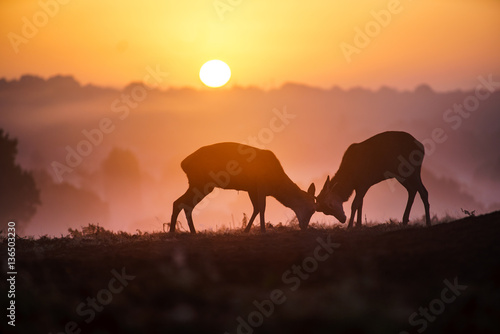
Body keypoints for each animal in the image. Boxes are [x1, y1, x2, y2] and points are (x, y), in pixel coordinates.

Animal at [170, 142, 314, 234]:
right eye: (311, 209)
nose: (304, 227)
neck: (275, 185)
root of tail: (183, 163)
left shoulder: (251, 188)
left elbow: (256, 208)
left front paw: (246, 230)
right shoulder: (260, 183)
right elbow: (262, 207)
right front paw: (263, 230)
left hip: (197, 183)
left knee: (182, 203)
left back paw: (189, 231)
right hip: (200, 182)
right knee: (181, 202)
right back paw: (175, 231)